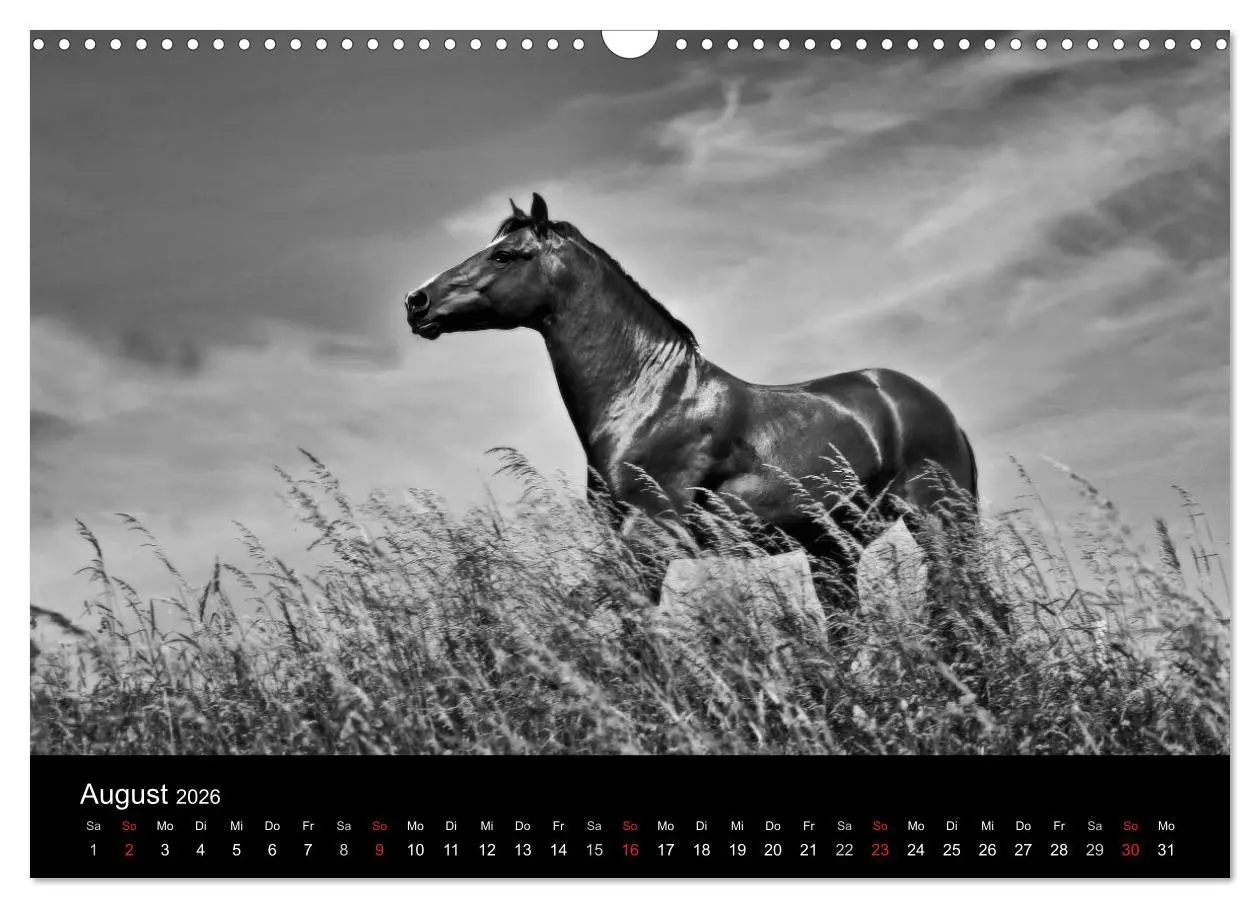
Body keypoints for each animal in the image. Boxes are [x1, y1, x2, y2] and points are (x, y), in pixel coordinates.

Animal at [403, 193, 979, 607]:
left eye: (503, 254)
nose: (417, 301)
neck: (649, 401)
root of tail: (935, 410)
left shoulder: (653, 535)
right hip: (836, 548)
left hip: (939, 521)